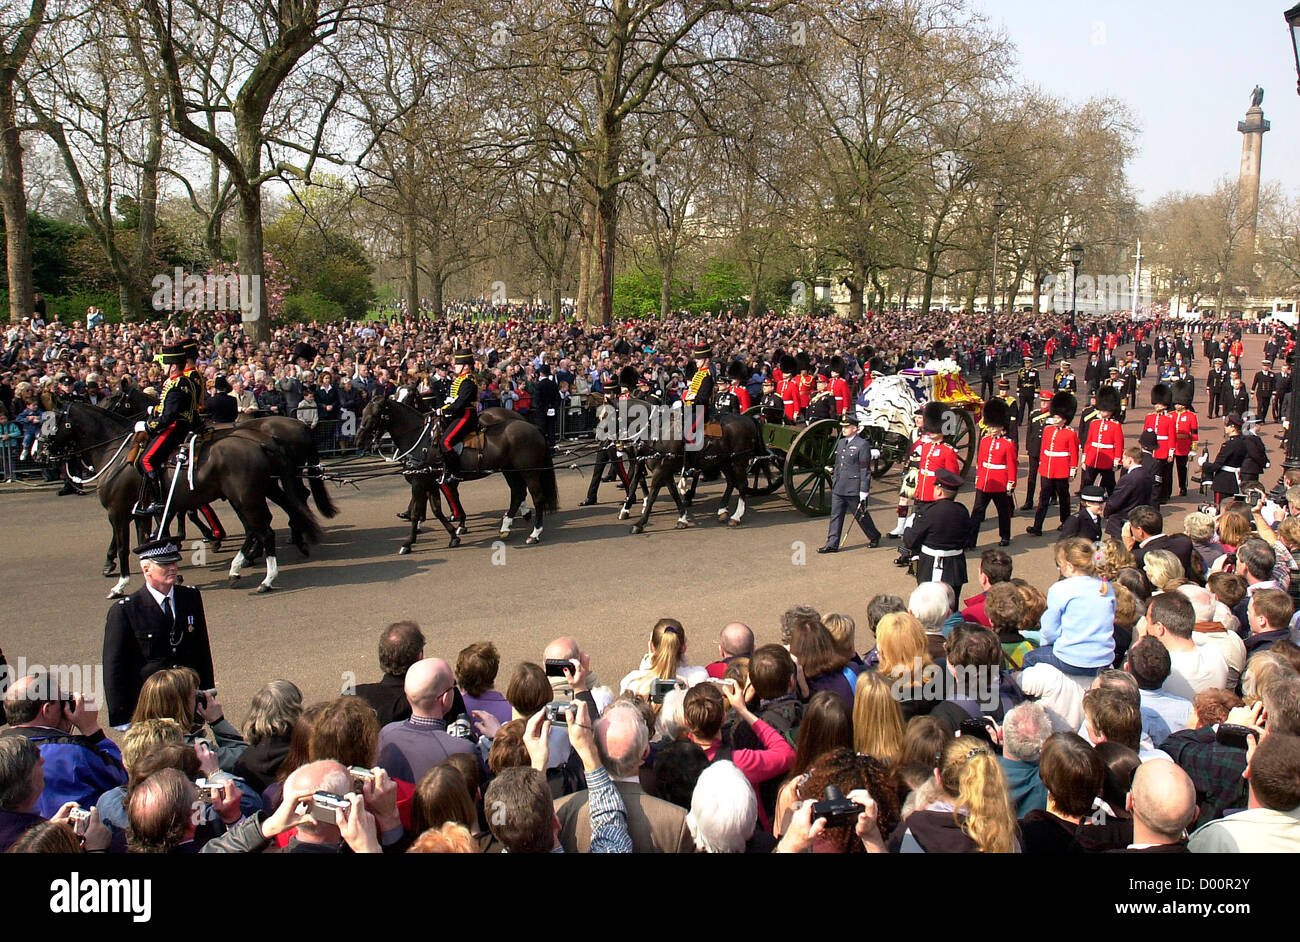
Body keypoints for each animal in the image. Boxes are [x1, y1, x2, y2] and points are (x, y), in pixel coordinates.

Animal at [36, 397, 322, 592]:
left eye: (52, 421)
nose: (39, 452)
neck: (114, 452)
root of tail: (263, 440)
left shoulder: (118, 512)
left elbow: (123, 545)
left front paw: (119, 583)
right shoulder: (144, 510)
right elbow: (145, 540)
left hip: (247, 496)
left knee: (266, 528)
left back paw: (266, 577)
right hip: (258, 491)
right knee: (274, 517)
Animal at [356, 394, 559, 550]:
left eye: (375, 414)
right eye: (363, 412)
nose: (358, 441)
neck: (420, 439)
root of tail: (531, 426)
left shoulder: (421, 480)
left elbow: (419, 510)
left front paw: (408, 542)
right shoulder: (430, 480)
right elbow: (436, 509)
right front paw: (453, 534)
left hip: (529, 471)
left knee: (537, 497)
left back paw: (534, 533)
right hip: (510, 470)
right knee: (517, 493)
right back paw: (506, 526)